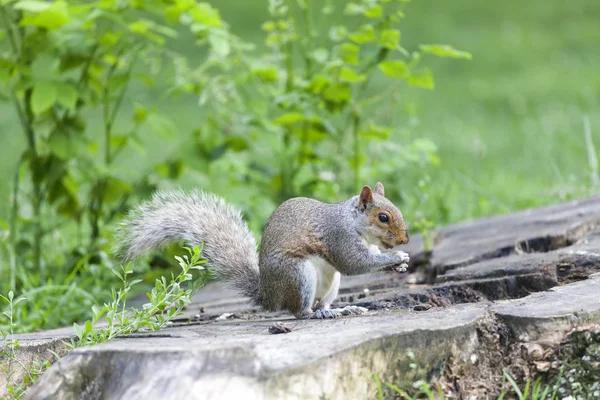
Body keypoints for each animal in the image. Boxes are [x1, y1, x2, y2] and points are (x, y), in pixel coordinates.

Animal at [115, 182, 410, 318]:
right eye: (383, 217)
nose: (405, 240)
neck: (352, 221)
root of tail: (270, 296)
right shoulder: (339, 237)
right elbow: (355, 263)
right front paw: (396, 257)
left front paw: (402, 262)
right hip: (298, 275)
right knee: (300, 311)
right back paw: (318, 313)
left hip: (330, 284)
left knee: (322, 301)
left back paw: (341, 309)